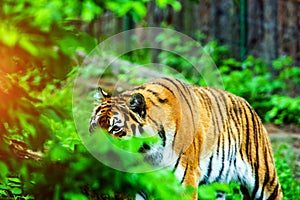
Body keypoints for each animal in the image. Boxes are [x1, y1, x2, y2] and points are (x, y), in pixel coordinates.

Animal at [88, 77, 282, 200]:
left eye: (115, 128)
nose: (95, 153)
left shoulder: (185, 183)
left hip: (264, 180)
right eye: (94, 127)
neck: (147, 153)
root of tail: (248, 104)